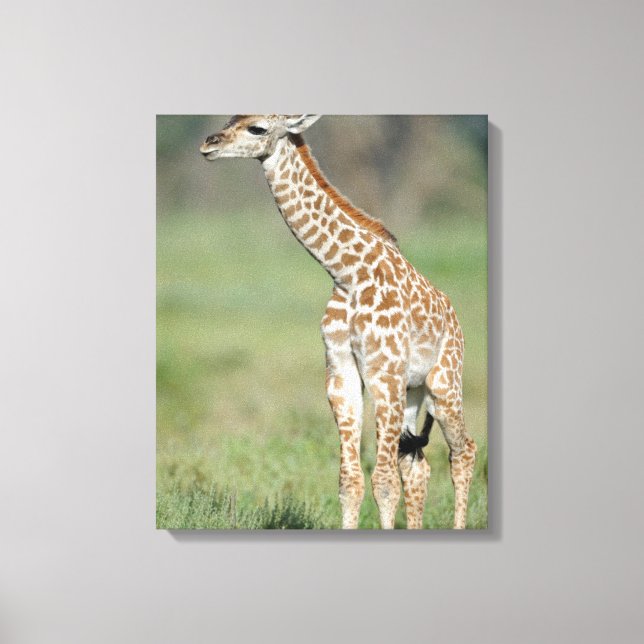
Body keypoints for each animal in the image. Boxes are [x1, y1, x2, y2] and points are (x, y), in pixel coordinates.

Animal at [200, 115, 477, 529]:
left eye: (257, 129)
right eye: (232, 118)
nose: (209, 144)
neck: (346, 272)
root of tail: (454, 318)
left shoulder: (383, 373)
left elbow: (383, 483)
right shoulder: (341, 371)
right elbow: (350, 482)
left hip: (443, 384)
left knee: (463, 451)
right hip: (413, 391)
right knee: (417, 466)